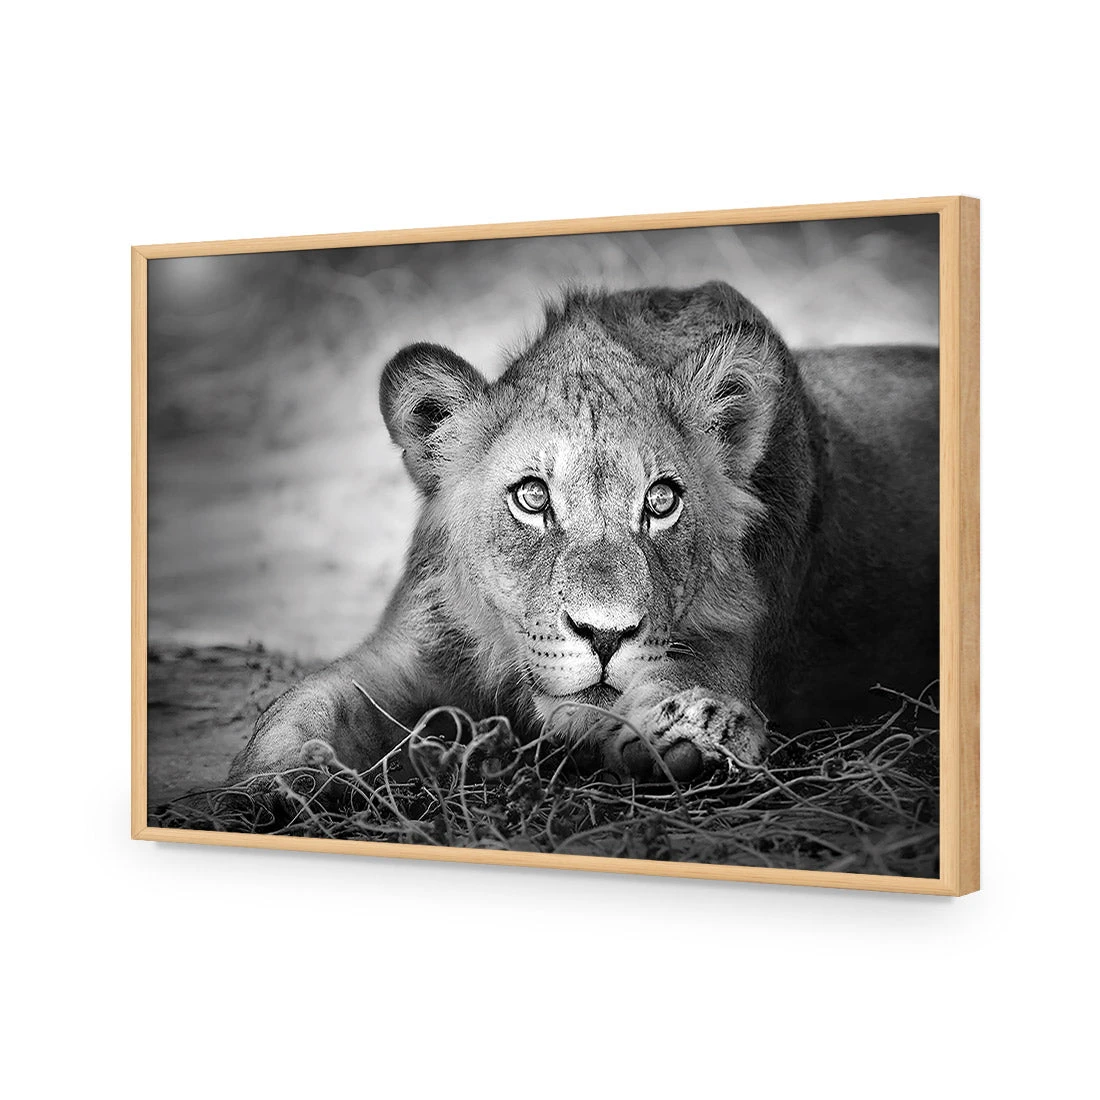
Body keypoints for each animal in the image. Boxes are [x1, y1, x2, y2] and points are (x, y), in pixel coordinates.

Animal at [229, 281, 938, 784]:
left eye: (661, 502)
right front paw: (272, 783)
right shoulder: (413, 648)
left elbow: (672, 688)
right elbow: (302, 705)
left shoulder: (735, 644)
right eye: (532, 497)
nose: (605, 635)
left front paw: (693, 732)